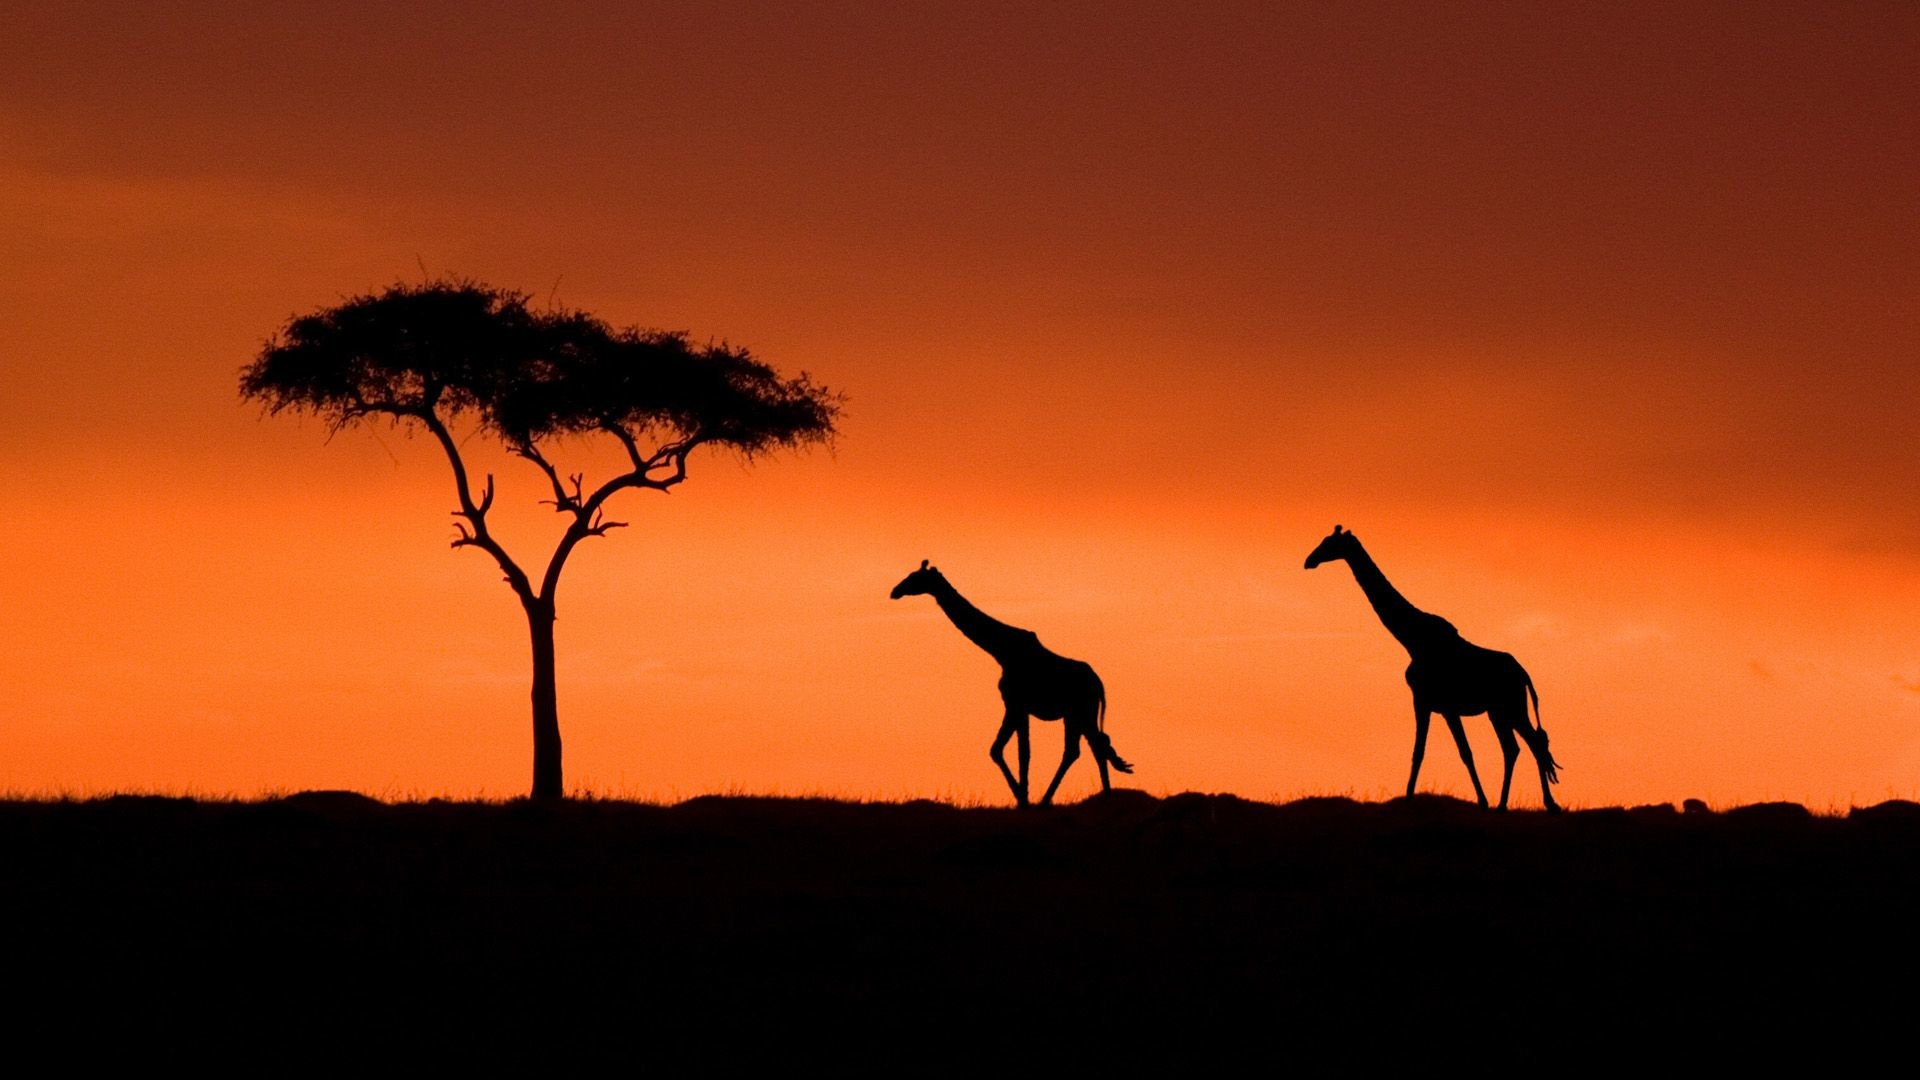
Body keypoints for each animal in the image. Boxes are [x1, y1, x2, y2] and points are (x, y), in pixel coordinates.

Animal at [890, 560, 1133, 806]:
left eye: (915, 578)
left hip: (1082, 711)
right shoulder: (1017, 707)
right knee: (1084, 748)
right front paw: (1023, 796)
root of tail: (1099, 684)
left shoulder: (1015, 704)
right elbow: (1009, 751)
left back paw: (1084, 799)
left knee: (1090, 747)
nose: (895, 592)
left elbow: (1013, 752)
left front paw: (1022, 798)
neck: (1001, 650)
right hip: (1075, 715)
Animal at [1304, 526, 1562, 812]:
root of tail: (1524, 674)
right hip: (1498, 711)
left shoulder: (1438, 704)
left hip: (1512, 707)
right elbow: (1421, 752)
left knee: (1533, 743)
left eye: (1329, 543)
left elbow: (1460, 752)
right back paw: (1505, 804)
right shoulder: (1427, 703)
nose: (1309, 561)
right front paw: (1410, 798)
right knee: (1514, 747)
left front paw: (1480, 801)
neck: (1412, 639)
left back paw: (1547, 804)